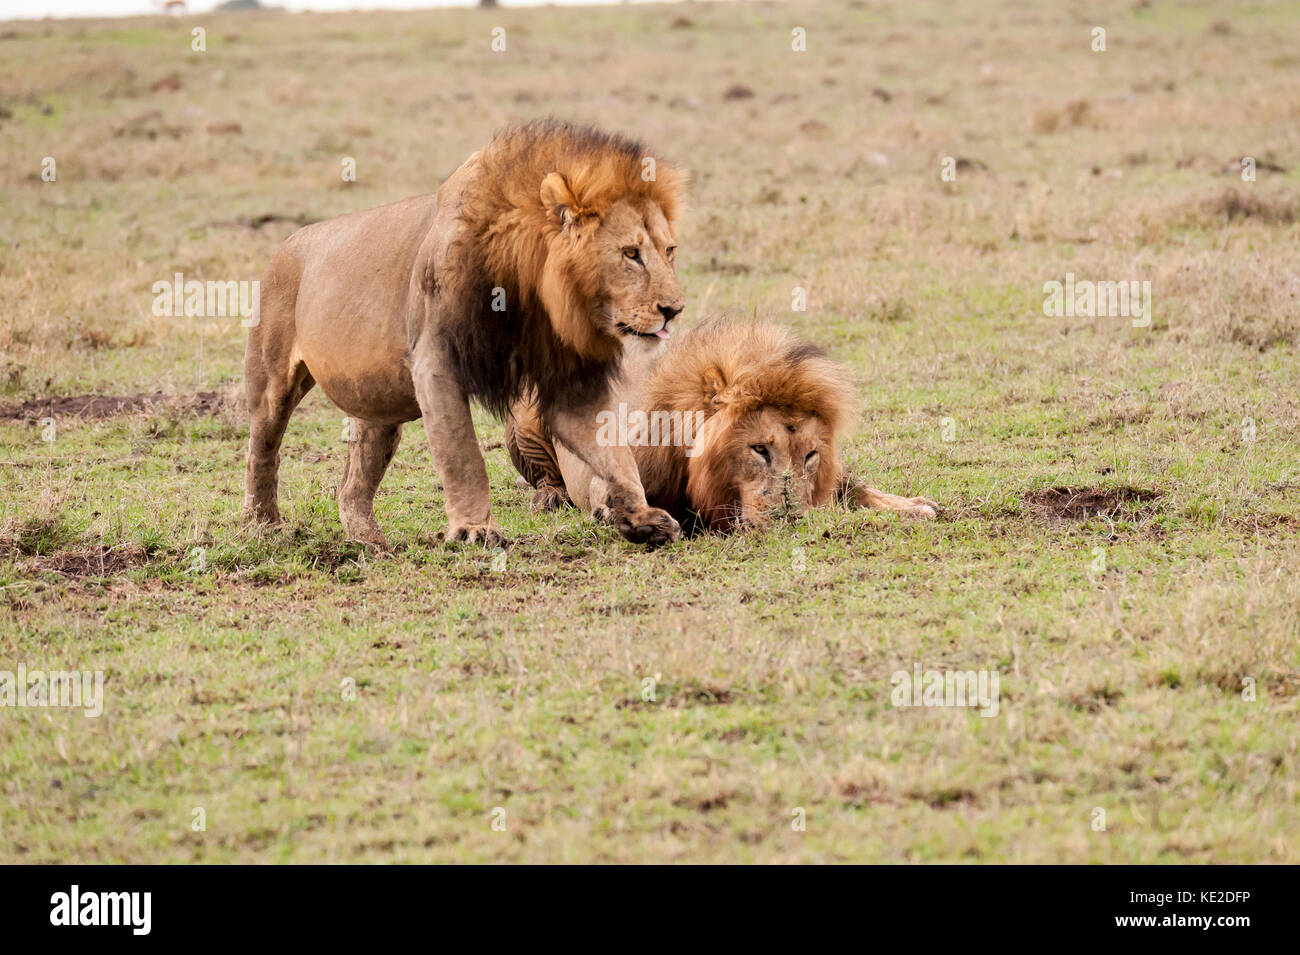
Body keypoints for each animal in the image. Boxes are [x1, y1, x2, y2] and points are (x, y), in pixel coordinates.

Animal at [245, 120, 691, 553]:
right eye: (630, 254)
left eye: (669, 251)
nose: (674, 310)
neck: (534, 292)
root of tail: (291, 239)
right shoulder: (436, 361)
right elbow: (463, 456)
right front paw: (476, 531)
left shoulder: (571, 384)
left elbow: (615, 453)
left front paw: (641, 517)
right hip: (273, 380)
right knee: (263, 448)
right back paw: (263, 525)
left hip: (377, 404)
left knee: (353, 483)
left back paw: (371, 544)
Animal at [501, 319, 941, 530]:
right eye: (759, 449)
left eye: (811, 455)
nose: (788, 517)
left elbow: (851, 487)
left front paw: (913, 507)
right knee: (546, 476)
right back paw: (549, 497)